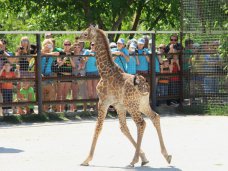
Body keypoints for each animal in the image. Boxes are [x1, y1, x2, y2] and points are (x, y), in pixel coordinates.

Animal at [79, 25, 171, 167]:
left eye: (85, 34)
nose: (77, 38)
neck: (104, 72)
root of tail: (144, 86)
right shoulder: (119, 105)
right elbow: (123, 128)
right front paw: (144, 157)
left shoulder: (103, 102)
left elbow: (98, 127)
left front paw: (86, 159)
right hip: (142, 104)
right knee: (155, 117)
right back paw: (167, 156)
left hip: (132, 106)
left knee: (141, 123)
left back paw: (133, 160)